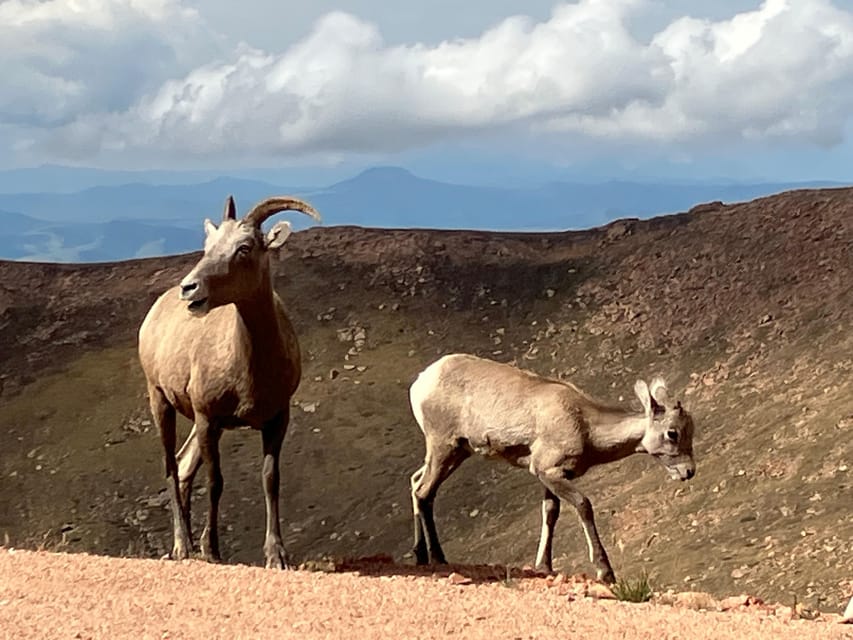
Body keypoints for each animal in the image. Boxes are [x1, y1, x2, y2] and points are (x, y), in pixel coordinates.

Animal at [140, 195, 320, 568]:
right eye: (208, 246)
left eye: (244, 247)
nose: (189, 288)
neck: (250, 368)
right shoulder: (208, 418)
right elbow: (215, 482)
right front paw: (212, 550)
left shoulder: (276, 419)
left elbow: (270, 479)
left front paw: (276, 555)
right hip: (161, 400)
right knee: (170, 466)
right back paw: (182, 546)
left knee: (183, 466)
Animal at [410, 352, 696, 584]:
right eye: (672, 433)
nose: (688, 472)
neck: (587, 427)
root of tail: (421, 383)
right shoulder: (548, 471)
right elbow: (583, 505)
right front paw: (605, 572)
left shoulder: (549, 476)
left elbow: (550, 512)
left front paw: (544, 567)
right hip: (444, 447)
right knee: (424, 492)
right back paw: (438, 558)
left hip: (455, 452)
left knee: (415, 484)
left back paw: (420, 555)